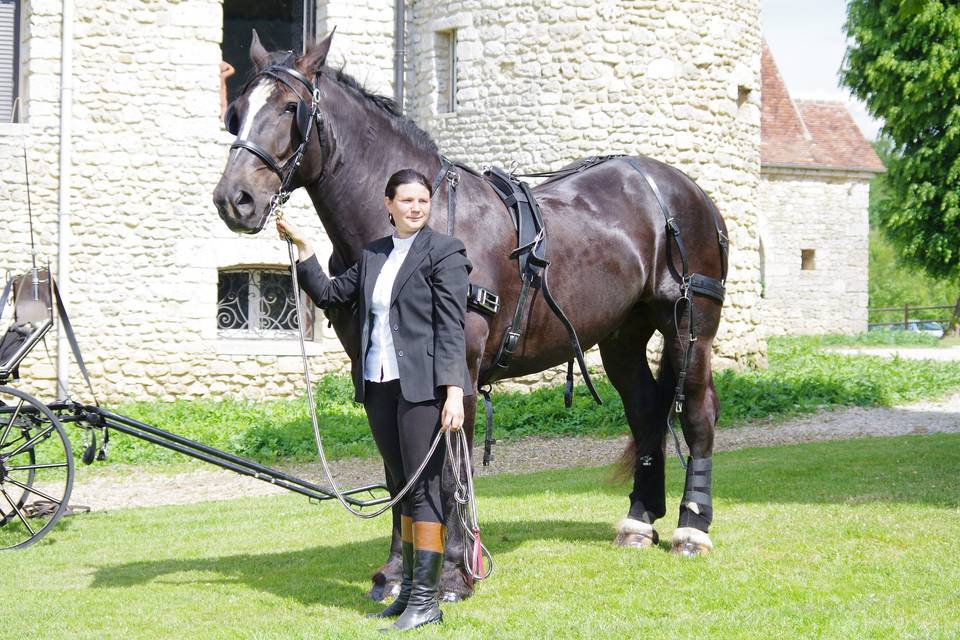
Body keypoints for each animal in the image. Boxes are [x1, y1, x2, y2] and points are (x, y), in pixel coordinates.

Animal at [216, 32, 728, 604]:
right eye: (237, 111)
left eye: (291, 108)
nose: (234, 199)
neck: (415, 228)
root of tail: (684, 190)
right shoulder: (376, 378)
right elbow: (399, 472)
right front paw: (395, 573)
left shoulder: (455, 370)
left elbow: (446, 472)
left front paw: (454, 575)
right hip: (622, 334)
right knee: (645, 411)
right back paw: (639, 521)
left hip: (689, 327)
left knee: (698, 413)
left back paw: (691, 527)